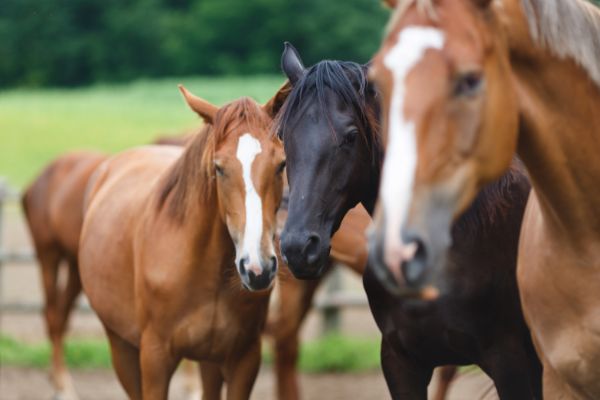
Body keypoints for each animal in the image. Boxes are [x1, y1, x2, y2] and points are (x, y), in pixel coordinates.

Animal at [78, 86, 288, 398]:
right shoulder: (155, 360)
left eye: (281, 164)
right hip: (121, 346)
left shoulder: (244, 359)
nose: (257, 268)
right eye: (219, 168)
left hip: (210, 360)